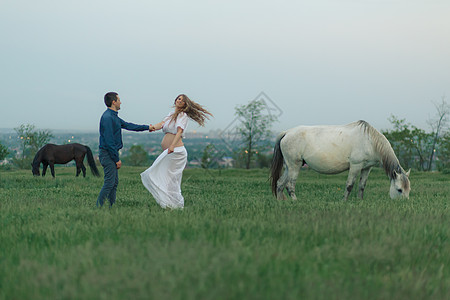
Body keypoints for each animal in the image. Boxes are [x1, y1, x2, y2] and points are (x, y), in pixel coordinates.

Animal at [270, 120, 412, 200]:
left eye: (408, 189)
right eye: (399, 189)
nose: (404, 204)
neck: (370, 141)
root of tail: (286, 132)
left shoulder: (367, 168)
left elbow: (361, 186)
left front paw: (360, 201)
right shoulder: (355, 166)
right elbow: (349, 185)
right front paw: (344, 201)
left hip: (289, 167)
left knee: (280, 184)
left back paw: (281, 202)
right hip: (295, 166)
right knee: (289, 185)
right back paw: (295, 201)